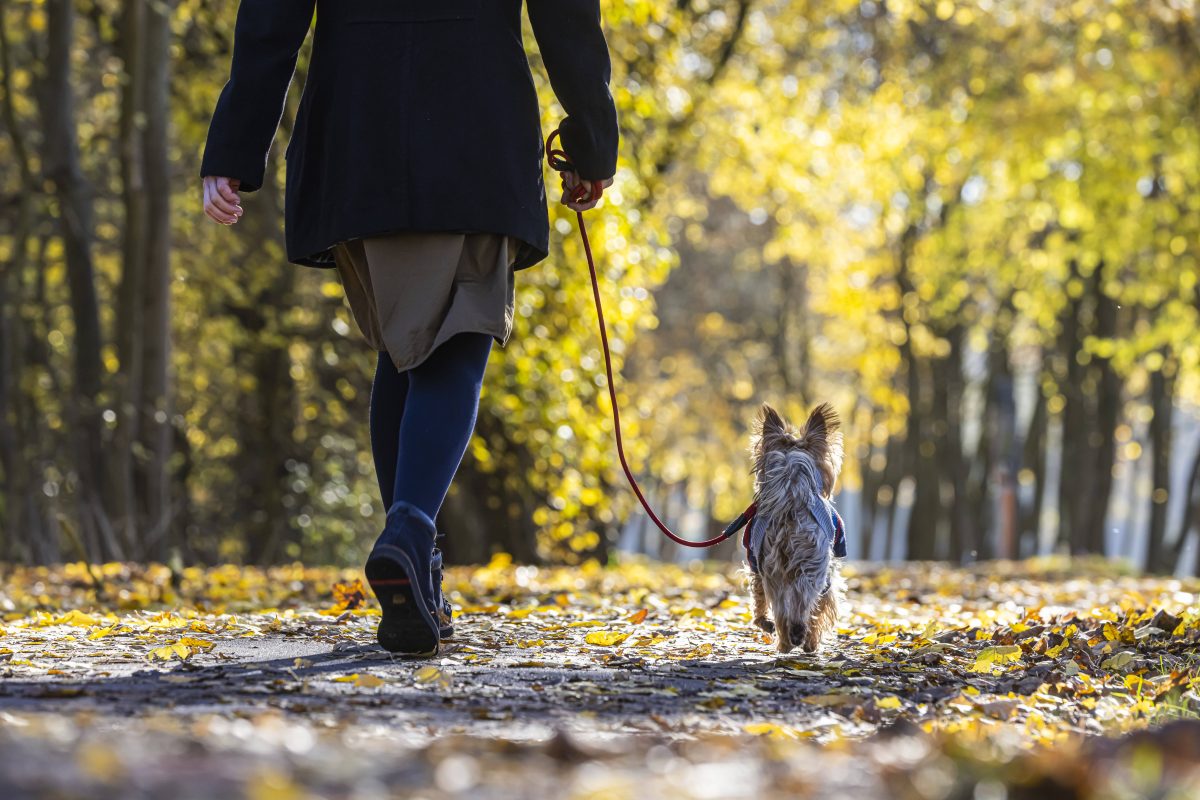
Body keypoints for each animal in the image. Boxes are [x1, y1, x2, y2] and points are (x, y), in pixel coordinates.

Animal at [739, 402, 844, 652]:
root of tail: (791, 510)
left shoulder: (757, 565)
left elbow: (759, 597)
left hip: (775, 565)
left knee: (783, 603)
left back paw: (788, 637)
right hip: (813, 563)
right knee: (801, 599)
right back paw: (796, 638)